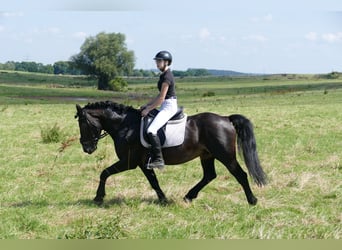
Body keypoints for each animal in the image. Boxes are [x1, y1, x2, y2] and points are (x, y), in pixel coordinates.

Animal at [75, 100, 268, 206]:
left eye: (83, 123)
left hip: (225, 156)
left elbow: (104, 173)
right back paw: (189, 196)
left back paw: (252, 200)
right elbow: (154, 182)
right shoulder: (143, 164)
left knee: (240, 174)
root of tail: (225, 119)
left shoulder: (129, 162)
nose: (87, 148)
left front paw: (98, 197)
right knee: (209, 175)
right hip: (207, 155)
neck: (125, 125)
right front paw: (164, 200)